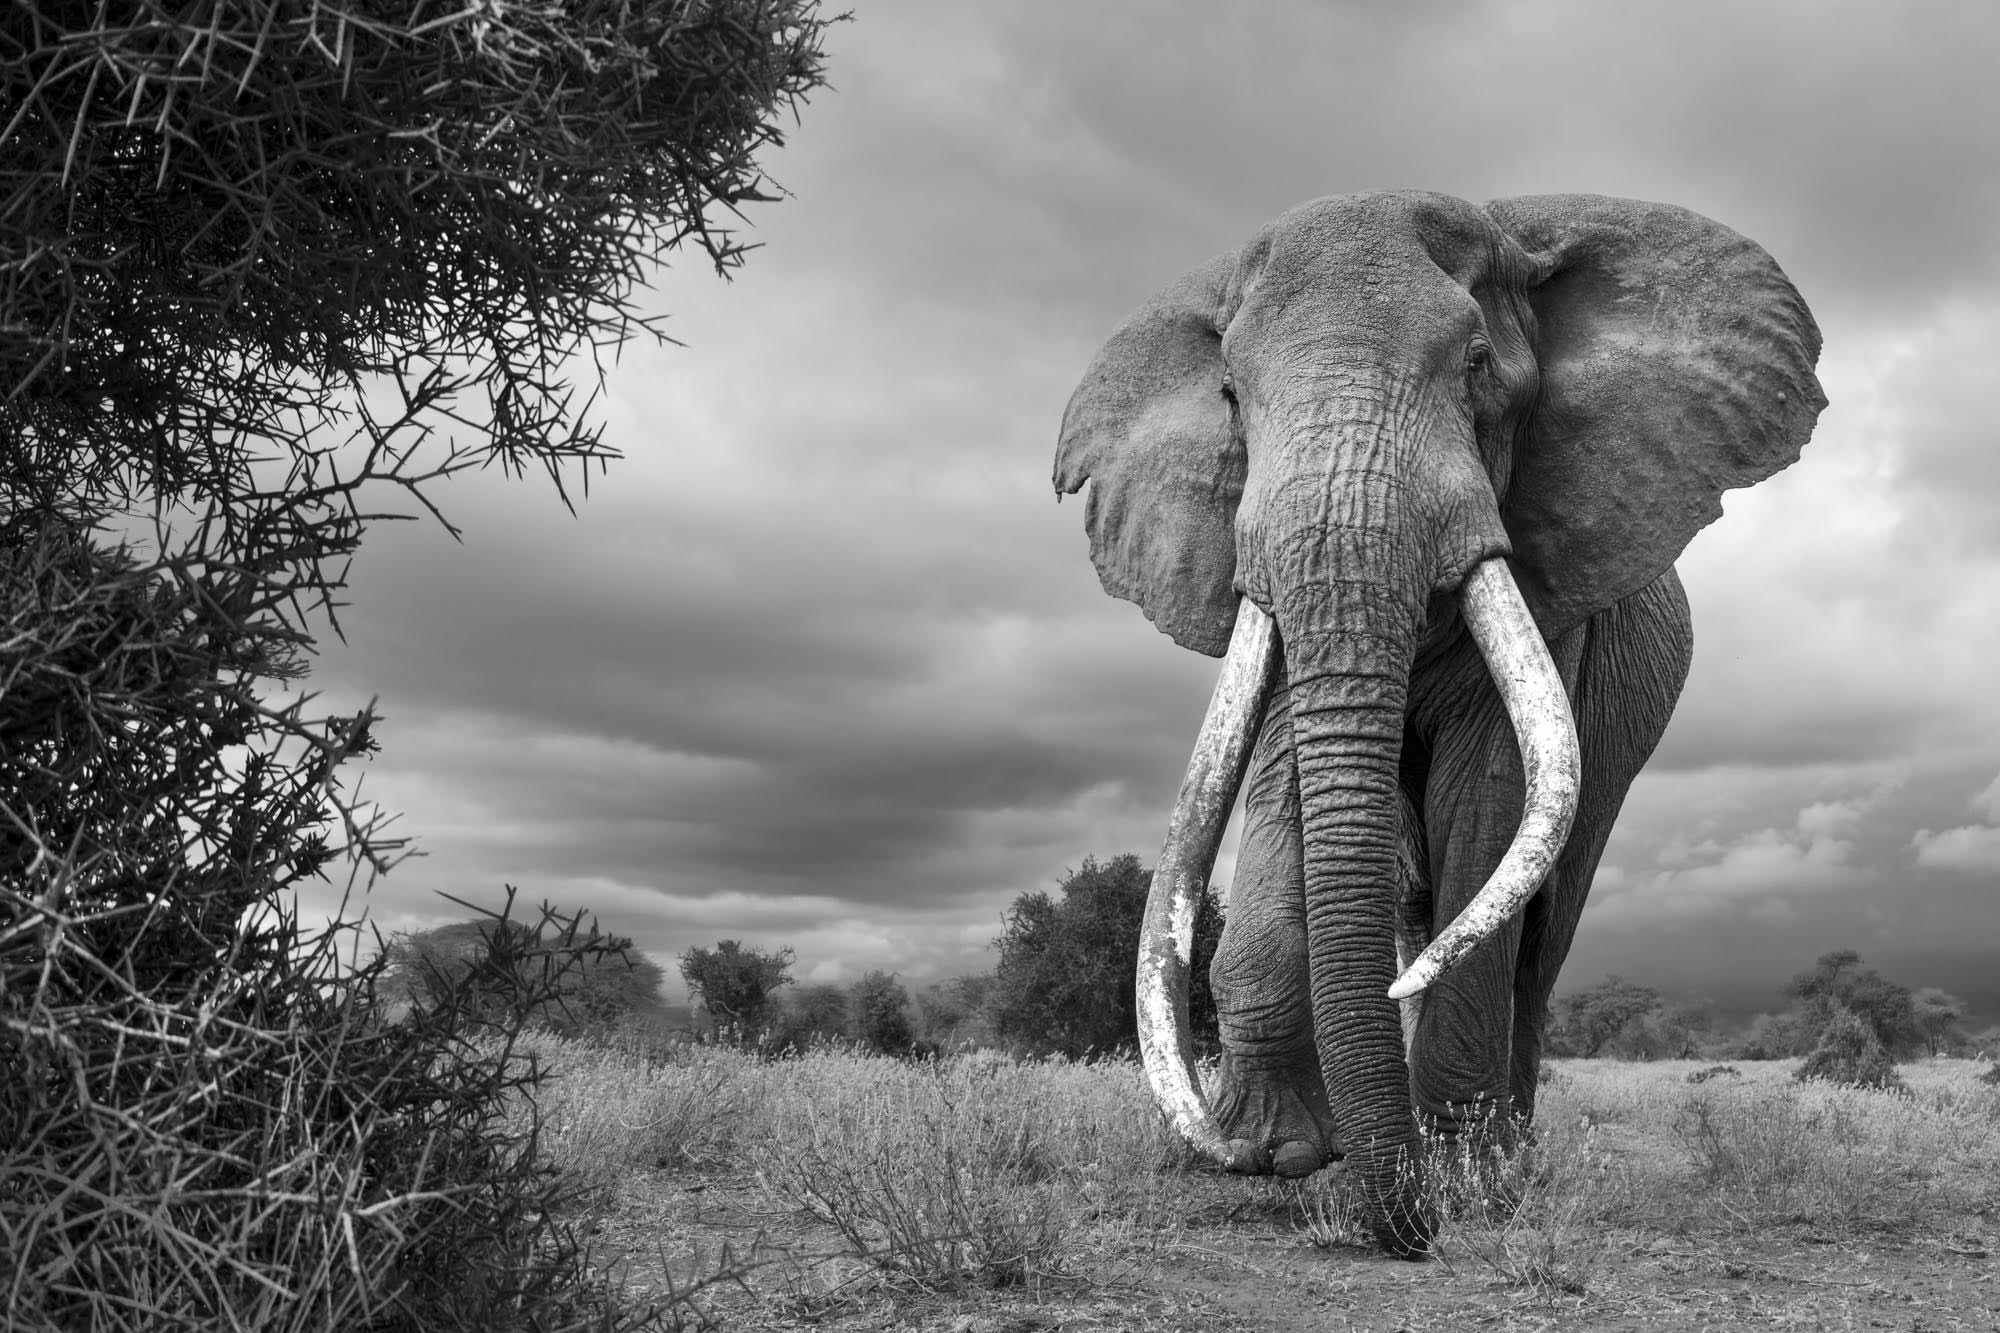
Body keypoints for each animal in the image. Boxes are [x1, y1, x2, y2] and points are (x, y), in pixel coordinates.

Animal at [1053, 191, 1824, 1255]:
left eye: (1477, 366)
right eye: (1231, 398)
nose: (1405, 1223)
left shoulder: (1554, 590)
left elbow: (1486, 798)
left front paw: (1458, 1181)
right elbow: (1284, 783)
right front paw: (1274, 1154)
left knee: (1538, 931)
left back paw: (1504, 1154)